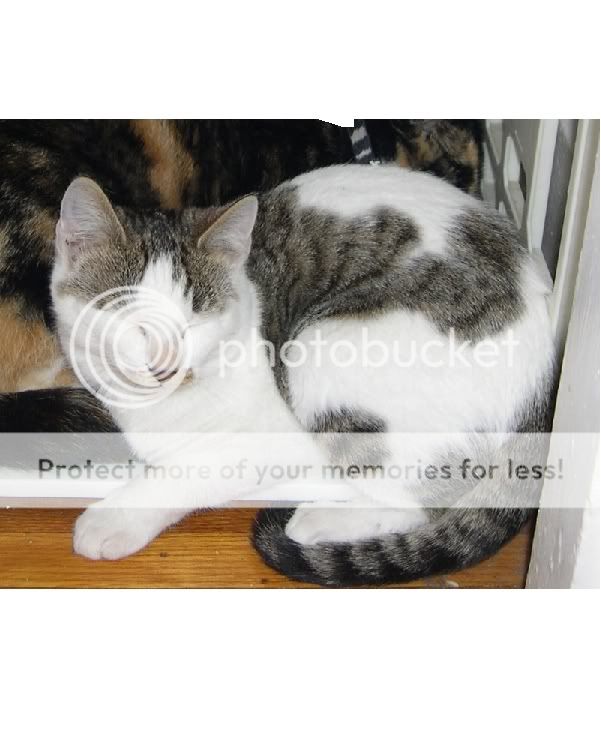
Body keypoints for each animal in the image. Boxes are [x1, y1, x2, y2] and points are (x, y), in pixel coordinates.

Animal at [23, 162, 554, 586]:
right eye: (131, 320)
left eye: (196, 320)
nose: (164, 365)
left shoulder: (273, 437)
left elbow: (194, 469)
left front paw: (114, 518)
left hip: (322, 352)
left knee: (418, 498)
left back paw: (321, 521)